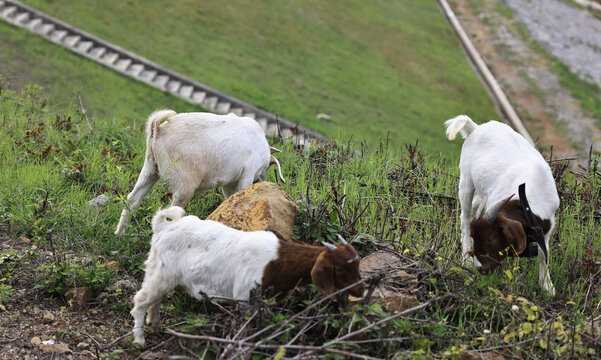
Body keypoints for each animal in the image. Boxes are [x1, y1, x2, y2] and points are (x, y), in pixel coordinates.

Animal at [132, 205, 366, 346]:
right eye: (341, 269)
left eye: (357, 265)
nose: (360, 289)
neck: (276, 261)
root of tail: (164, 226)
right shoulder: (244, 296)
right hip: (163, 272)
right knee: (141, 300)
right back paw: (139, 340)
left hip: (160, 272)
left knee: (155, 299)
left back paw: (156, 325)